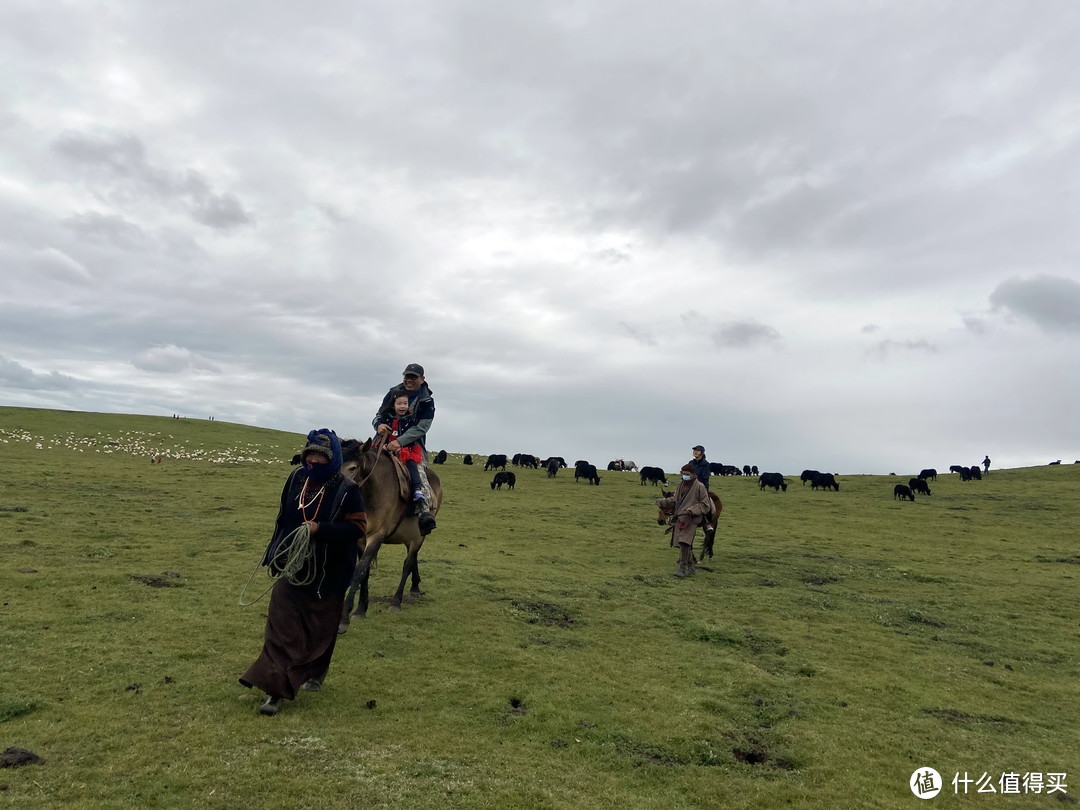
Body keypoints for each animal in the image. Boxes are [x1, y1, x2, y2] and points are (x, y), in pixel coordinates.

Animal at [334, 438, 440, 635]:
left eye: (352, 468)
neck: (373, 492)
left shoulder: (377, 536)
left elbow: (359, 571)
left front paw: (344, 618)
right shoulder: (361, 539)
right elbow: (365, 572)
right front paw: (361, 609)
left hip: (418, 536)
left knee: (408, 564)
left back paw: (396, 601)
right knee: (413, 559)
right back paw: (415, 586)